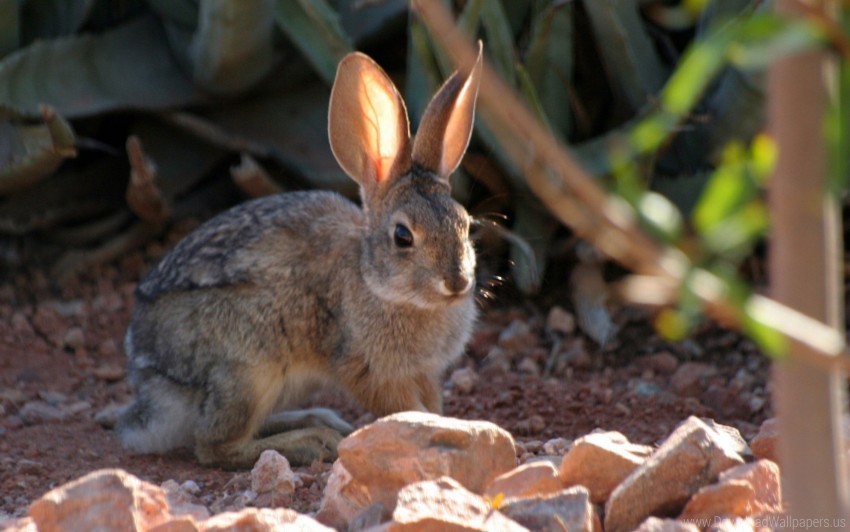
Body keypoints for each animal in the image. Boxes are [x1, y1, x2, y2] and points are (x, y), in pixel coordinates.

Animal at [116, 46, 480, 470]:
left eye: (466, 224)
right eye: (402, 236)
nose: (457, 281)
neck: (379, 284)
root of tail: (149, 381)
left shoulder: (426, 373)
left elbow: (431, 405)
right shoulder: (369, 370)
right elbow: (405, 409)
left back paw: (319, 420)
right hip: (247, 370)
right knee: (213, 446)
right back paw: (312, 441)